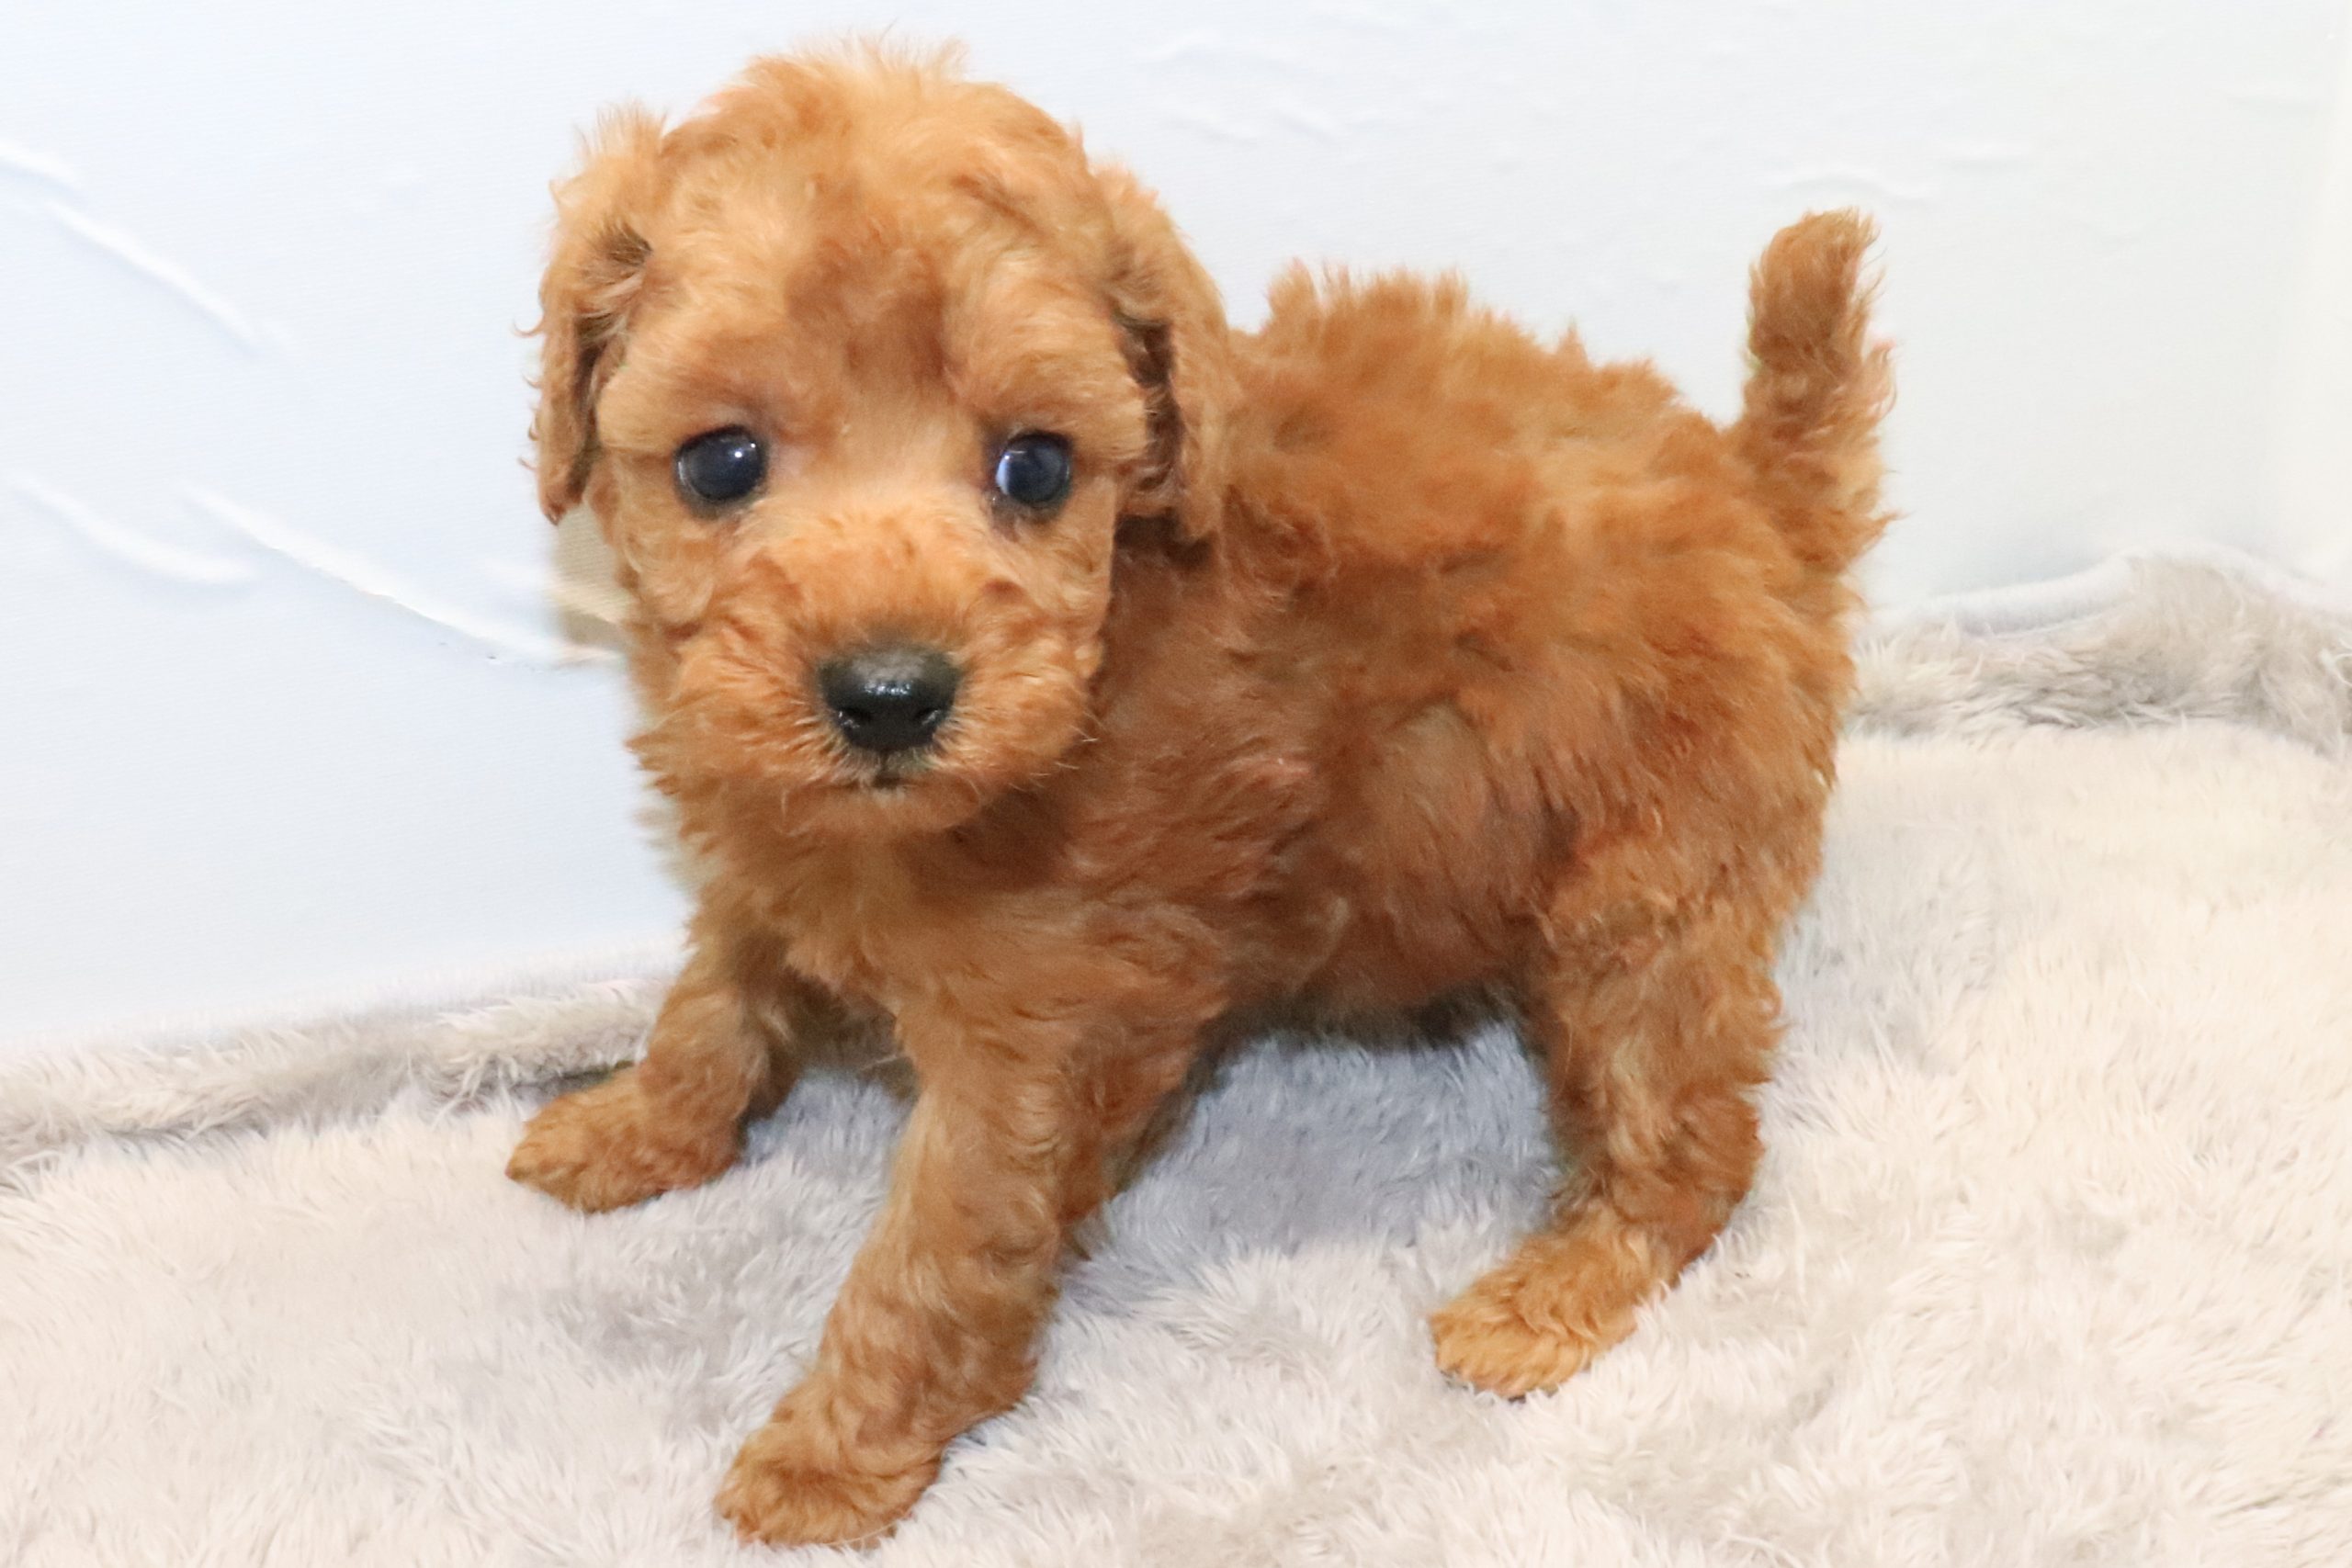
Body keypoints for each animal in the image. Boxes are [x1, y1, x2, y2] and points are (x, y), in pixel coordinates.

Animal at [505, 44, 1891, 1546]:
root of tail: (1756, 489)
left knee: (1690, 1139)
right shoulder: (768, 846)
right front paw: (634, 1129)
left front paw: (831, 1453)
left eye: (1036, 466)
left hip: (1645, 897)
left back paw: (1552, 1294)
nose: (889, 695)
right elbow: (710, 1000)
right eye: (721, 461)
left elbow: (932, 1254)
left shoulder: (1034, 1038)